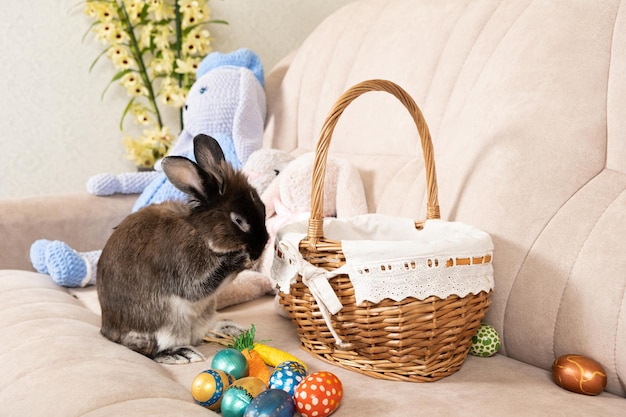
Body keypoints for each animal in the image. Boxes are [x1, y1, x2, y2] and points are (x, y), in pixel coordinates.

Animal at [96, 135, 266, 362]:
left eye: (263, 208)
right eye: (239, 220)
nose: (261, 247)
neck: (201, 234)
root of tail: (107, 331)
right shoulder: (187, 273)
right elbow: (198, 286)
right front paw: (241, 257)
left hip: (203, 316)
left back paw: (230, 329)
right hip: (164, 325)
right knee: (147, 350)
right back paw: (182, 354)